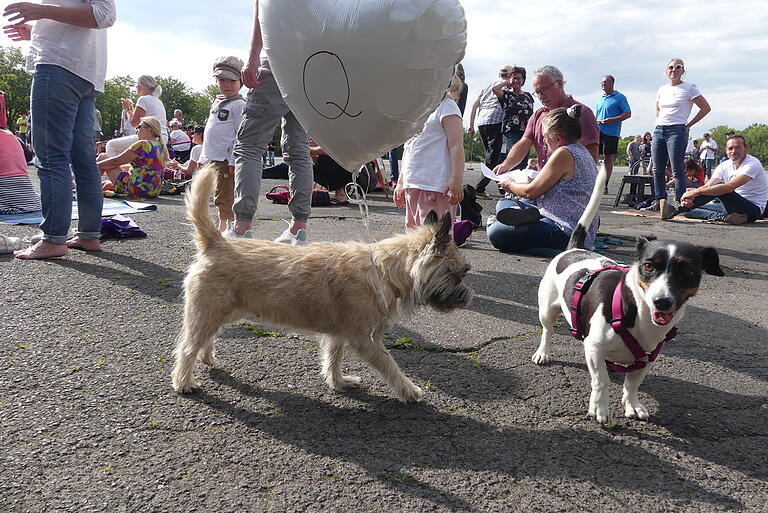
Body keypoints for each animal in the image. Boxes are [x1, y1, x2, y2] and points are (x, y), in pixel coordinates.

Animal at [172, 164, 474, 400]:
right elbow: (389, 364)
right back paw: (183, 381)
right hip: (206, 312)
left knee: (205, 339)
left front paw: (338, 382)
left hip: (220, 312)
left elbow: (333, 358)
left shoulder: (339, 334)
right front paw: (408, 390)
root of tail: (216, 242)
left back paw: (207, 357)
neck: (384, 271)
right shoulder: (366, 340)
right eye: (458, 274)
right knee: (187, 347)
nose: (468, 297)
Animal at [532, 166, 724, 422]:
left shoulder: (647, 358)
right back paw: (543, 352)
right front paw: (599, 406)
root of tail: (575, 248)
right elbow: (601, 380)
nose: (662, 302)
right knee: (548, 331)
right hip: (547, 311)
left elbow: (633, 383)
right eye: (649, 266)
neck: (637, 311)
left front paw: (632, 404)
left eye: (688, 271)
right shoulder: (594, 347)